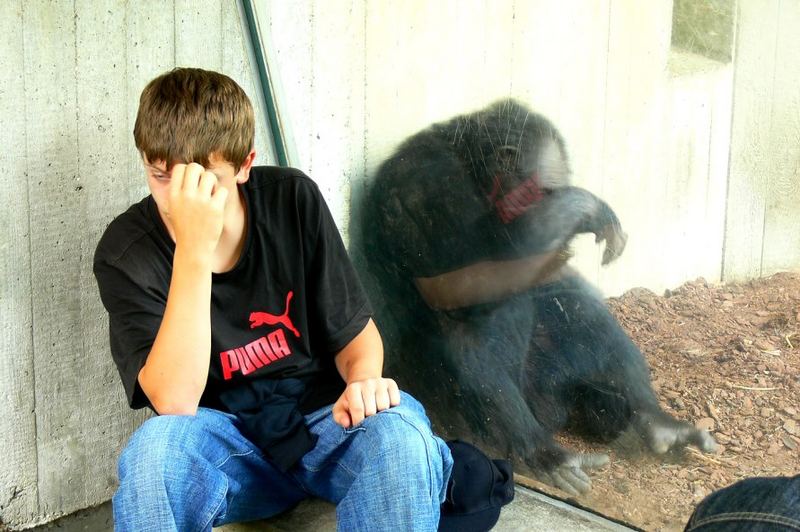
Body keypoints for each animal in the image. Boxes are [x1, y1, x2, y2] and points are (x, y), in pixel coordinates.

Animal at [360, 98, 716, 494]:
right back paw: (543, 452)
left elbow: (555, 285)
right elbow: (468, 278)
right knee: (482, 321)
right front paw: (583, 206)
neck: (471, 170)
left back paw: (656, 421)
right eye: (544, 193)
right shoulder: (428, 181)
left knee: (569, 306)